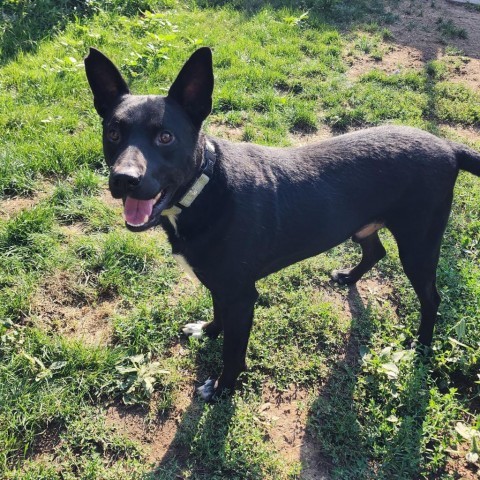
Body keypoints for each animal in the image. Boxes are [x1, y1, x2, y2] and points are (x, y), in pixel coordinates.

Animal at [84, 47, 478, 400]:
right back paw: (349, 277)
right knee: (375, 251)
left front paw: (223, 388)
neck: (205, 187)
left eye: (165, 137)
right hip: (361, 226)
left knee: (431, 297)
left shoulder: (242, 296)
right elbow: (217, 314)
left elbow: (233, 352)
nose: (124, 179)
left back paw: (421, 347)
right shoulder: (221, 285)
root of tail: (448, 146)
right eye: (113, 133)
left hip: (418, 245)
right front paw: (208, 331)